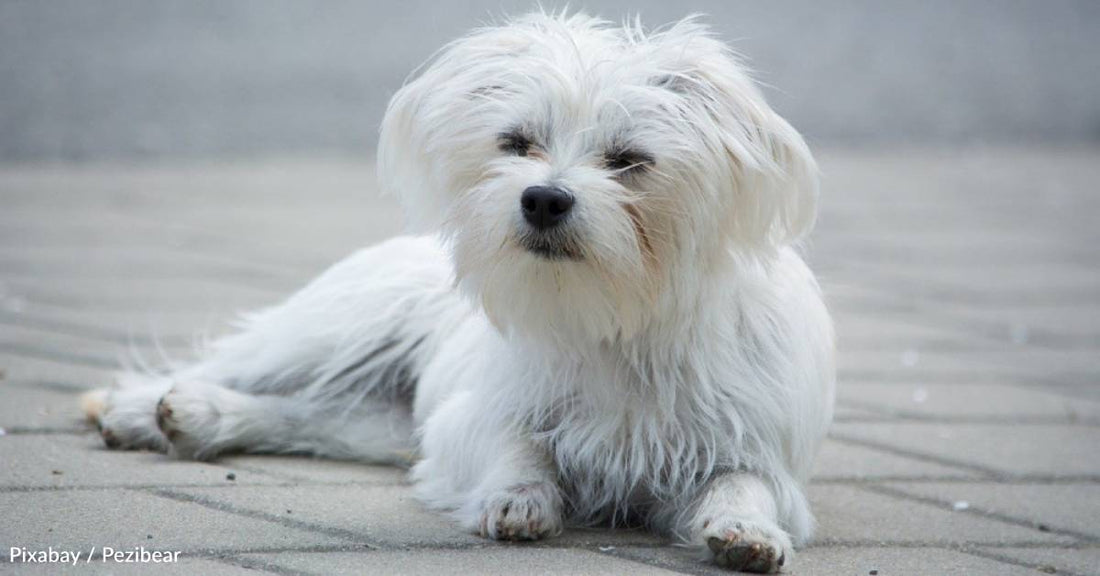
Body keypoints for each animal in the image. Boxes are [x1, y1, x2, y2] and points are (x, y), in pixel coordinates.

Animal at [79, 11, 831, 571]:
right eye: (517, 142)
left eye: (629, 160)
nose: (543, 199)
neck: (617, 317)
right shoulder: (471, 420)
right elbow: (519, 445)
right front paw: (521, 495)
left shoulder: (755, 449)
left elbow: (745, 484)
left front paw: (746, 532)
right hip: (331, 331)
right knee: (228, 366)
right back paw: (139, 409)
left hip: (376, 421)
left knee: (303, 416)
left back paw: (205, 417)